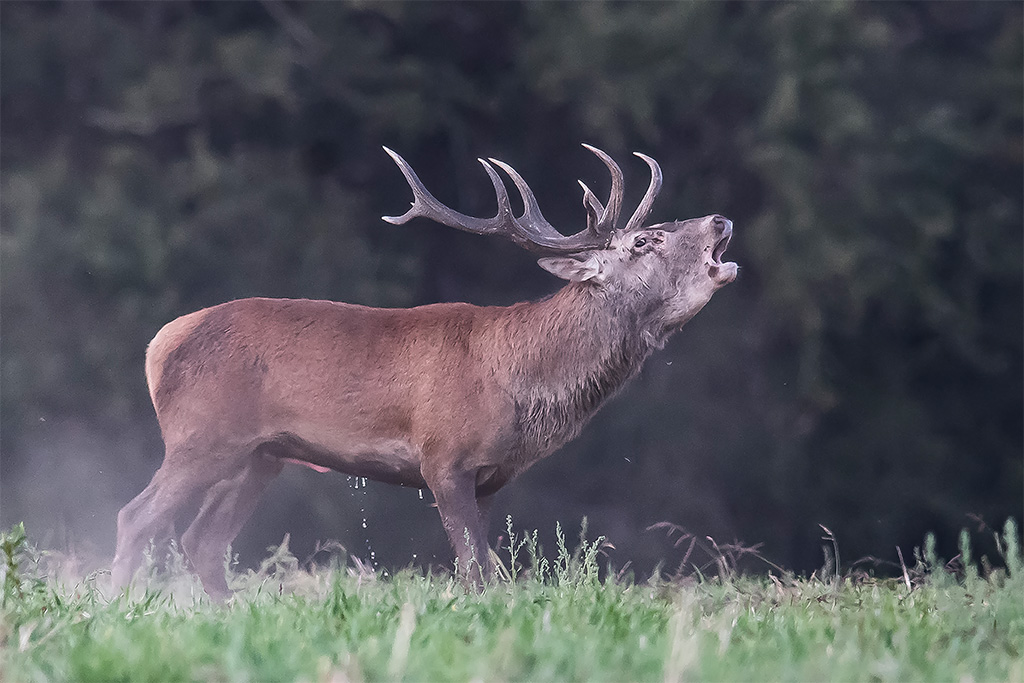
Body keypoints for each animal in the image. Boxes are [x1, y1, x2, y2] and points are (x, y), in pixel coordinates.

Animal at [111, 144, 737, 599]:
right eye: (646, 239)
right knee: (136, 516)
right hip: (202, 435)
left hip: (261, 454)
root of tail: (159, 345)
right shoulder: (443, 457)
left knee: (203, 540)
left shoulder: (491, 478)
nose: (720, 219)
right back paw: (118, 607)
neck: (521, 380)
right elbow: (474, 569)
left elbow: (482, 569)